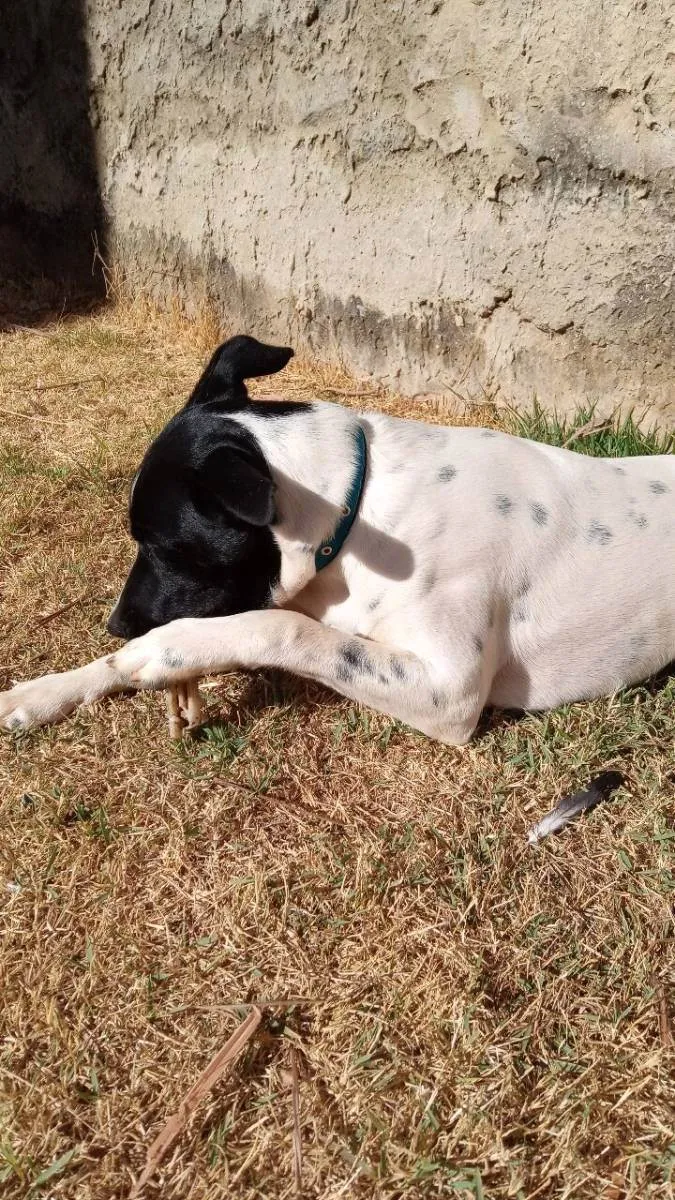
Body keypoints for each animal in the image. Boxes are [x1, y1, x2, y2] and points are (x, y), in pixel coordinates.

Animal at [0, 333, 667, 744]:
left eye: (162, 547)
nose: (117, 624)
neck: (362, 507)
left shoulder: (448, 689)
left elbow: (283, 628)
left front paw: (169, 648)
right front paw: (48, 689)